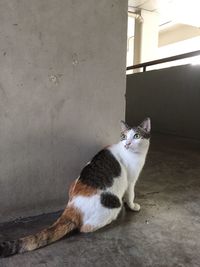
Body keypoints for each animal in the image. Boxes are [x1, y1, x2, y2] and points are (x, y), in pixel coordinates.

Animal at [0, 119, 150, 258]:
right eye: (124, 136)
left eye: (136, 136)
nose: (127, 144)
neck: (135, 155)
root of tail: (72, 206)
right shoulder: (131, 181)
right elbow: (131, 195)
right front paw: (132, 206)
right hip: (112, 205)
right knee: (84, 228)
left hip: (72, 184)